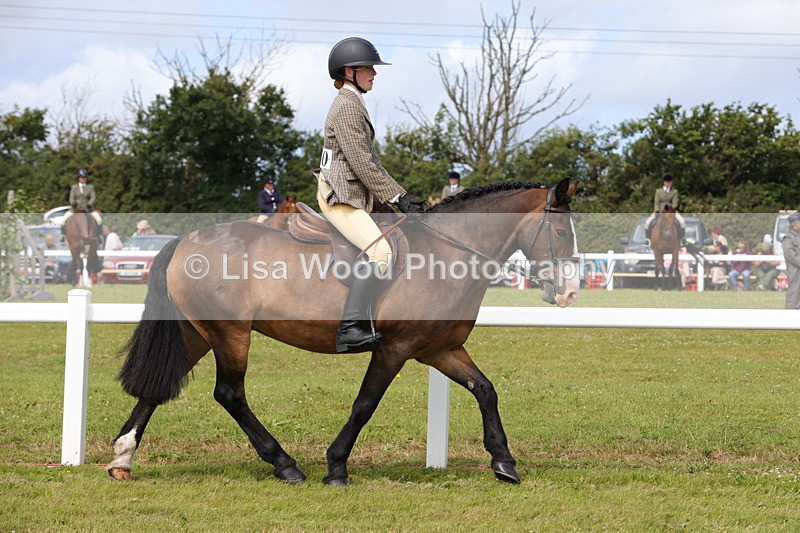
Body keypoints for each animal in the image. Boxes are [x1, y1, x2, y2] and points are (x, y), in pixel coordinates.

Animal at [107, 178, 581, 486]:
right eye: (560, 230)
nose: (571, 292)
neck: (444, 254)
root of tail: (186, 241)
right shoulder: (396, 348)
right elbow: (364, 405)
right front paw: (336, 467)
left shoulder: (440, 349)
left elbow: (485, 390)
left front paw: (504, 462)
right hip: (229, 334)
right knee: (230, 394)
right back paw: (285, 464)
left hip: (197, 333)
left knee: (157, 387)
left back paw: (123, 457)